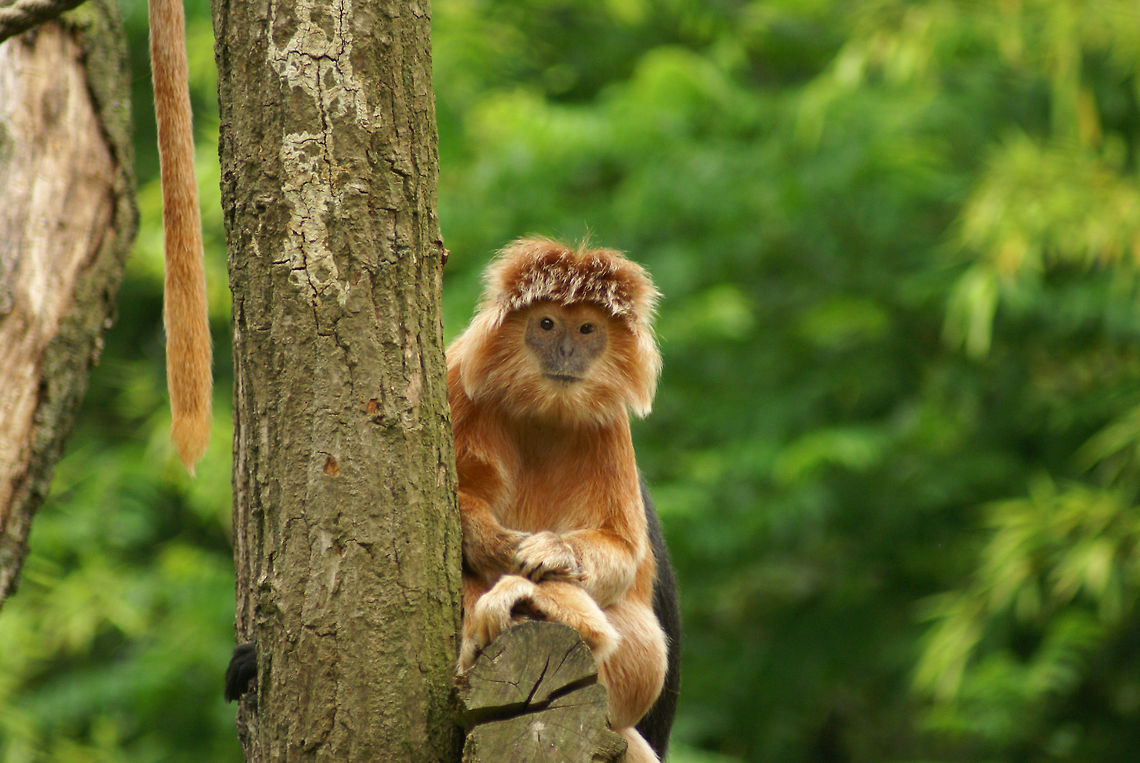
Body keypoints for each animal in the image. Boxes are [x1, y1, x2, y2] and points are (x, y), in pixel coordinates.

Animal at [450, 238, 678, 762]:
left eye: (587, 328)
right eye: (548, 324)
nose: (568, 350)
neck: (541, 410)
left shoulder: (610, 427)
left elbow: (620, 550)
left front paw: (550, 552)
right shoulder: (456, 380)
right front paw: (495, 544)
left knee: (645, 646)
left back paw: (542, 604)